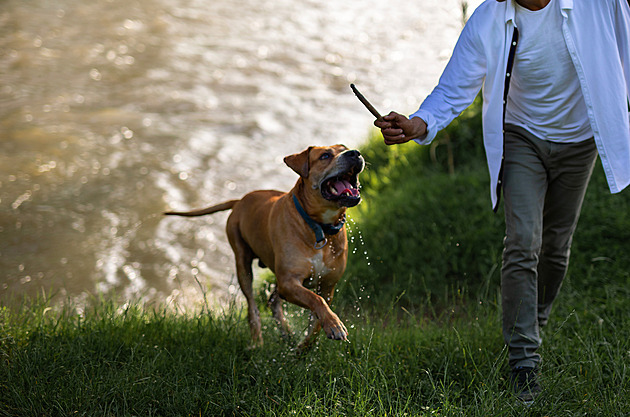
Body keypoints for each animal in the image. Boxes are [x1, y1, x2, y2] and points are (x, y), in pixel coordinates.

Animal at [165, 145, 366, 350]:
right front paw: (333, 325)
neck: (319, 228)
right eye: (325, 156)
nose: (354, 153)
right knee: (252, 306)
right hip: (242, 262)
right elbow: (314, 299)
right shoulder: (289, 282)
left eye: (344, 148)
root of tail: (239, 201)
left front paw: (304, 347)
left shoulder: (326, 286)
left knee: (272, 301)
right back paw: (257, 341)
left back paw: (287, 334)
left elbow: (316, 322)